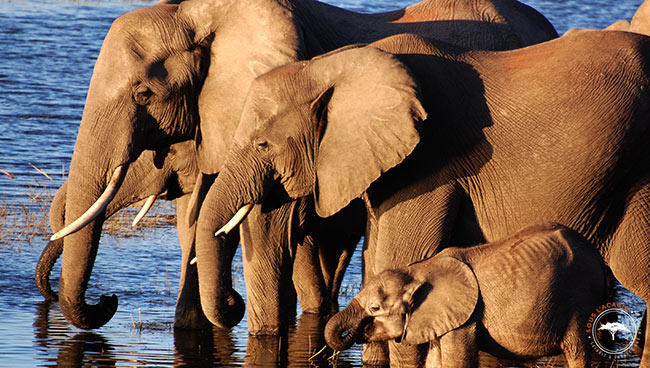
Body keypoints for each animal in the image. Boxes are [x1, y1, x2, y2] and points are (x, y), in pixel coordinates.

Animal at [326, 223, 604, 366]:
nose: (353, 332)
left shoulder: (464, 319)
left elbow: (456, 362)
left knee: (578, 351)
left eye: (375, 308)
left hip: (580, 296)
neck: (418, 270)